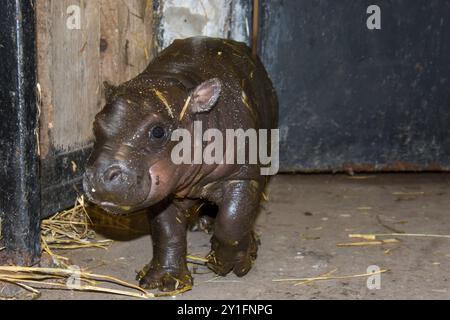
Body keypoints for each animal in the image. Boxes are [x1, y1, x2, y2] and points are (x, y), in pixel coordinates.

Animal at [82, 36, 276, 292]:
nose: (98, 176)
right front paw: (165, 280)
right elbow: (166, 232)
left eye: (158, 131)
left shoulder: (243, 175)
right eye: (95, 123)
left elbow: (232, 221)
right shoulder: (164, 193)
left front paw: (230, 265)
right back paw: (201, 224)